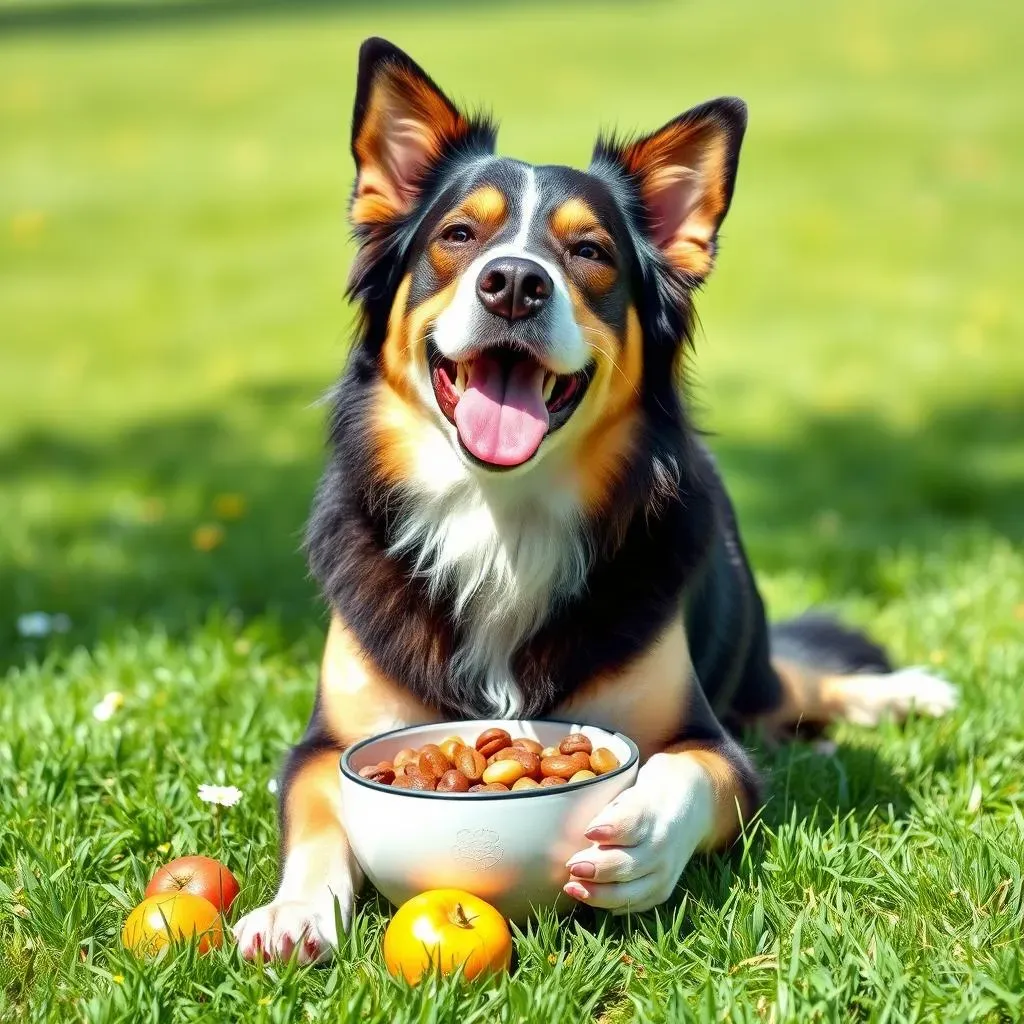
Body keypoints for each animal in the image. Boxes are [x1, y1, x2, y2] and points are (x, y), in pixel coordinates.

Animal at [235, 39, 954, 962]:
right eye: (458, 236)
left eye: (590, 252)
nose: (513, 282)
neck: (501, 515)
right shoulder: (326, 745)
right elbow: (322, 818)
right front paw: (292, 913)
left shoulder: (714, 744)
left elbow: (688, 768)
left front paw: (643, 836)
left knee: (798, 685)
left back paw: (905, 694)